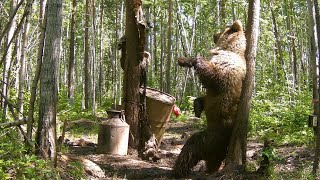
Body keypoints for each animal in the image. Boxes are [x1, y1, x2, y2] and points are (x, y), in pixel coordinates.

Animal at [174, 19, 246, 177]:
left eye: (224, 27)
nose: (214, 34)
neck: (230, 49)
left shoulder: (227, 70)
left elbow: (213, 75)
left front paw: (189, 59)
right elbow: (205, 98)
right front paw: (197, 107)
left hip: (213, 138)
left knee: (192, 148)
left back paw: (178, 170)